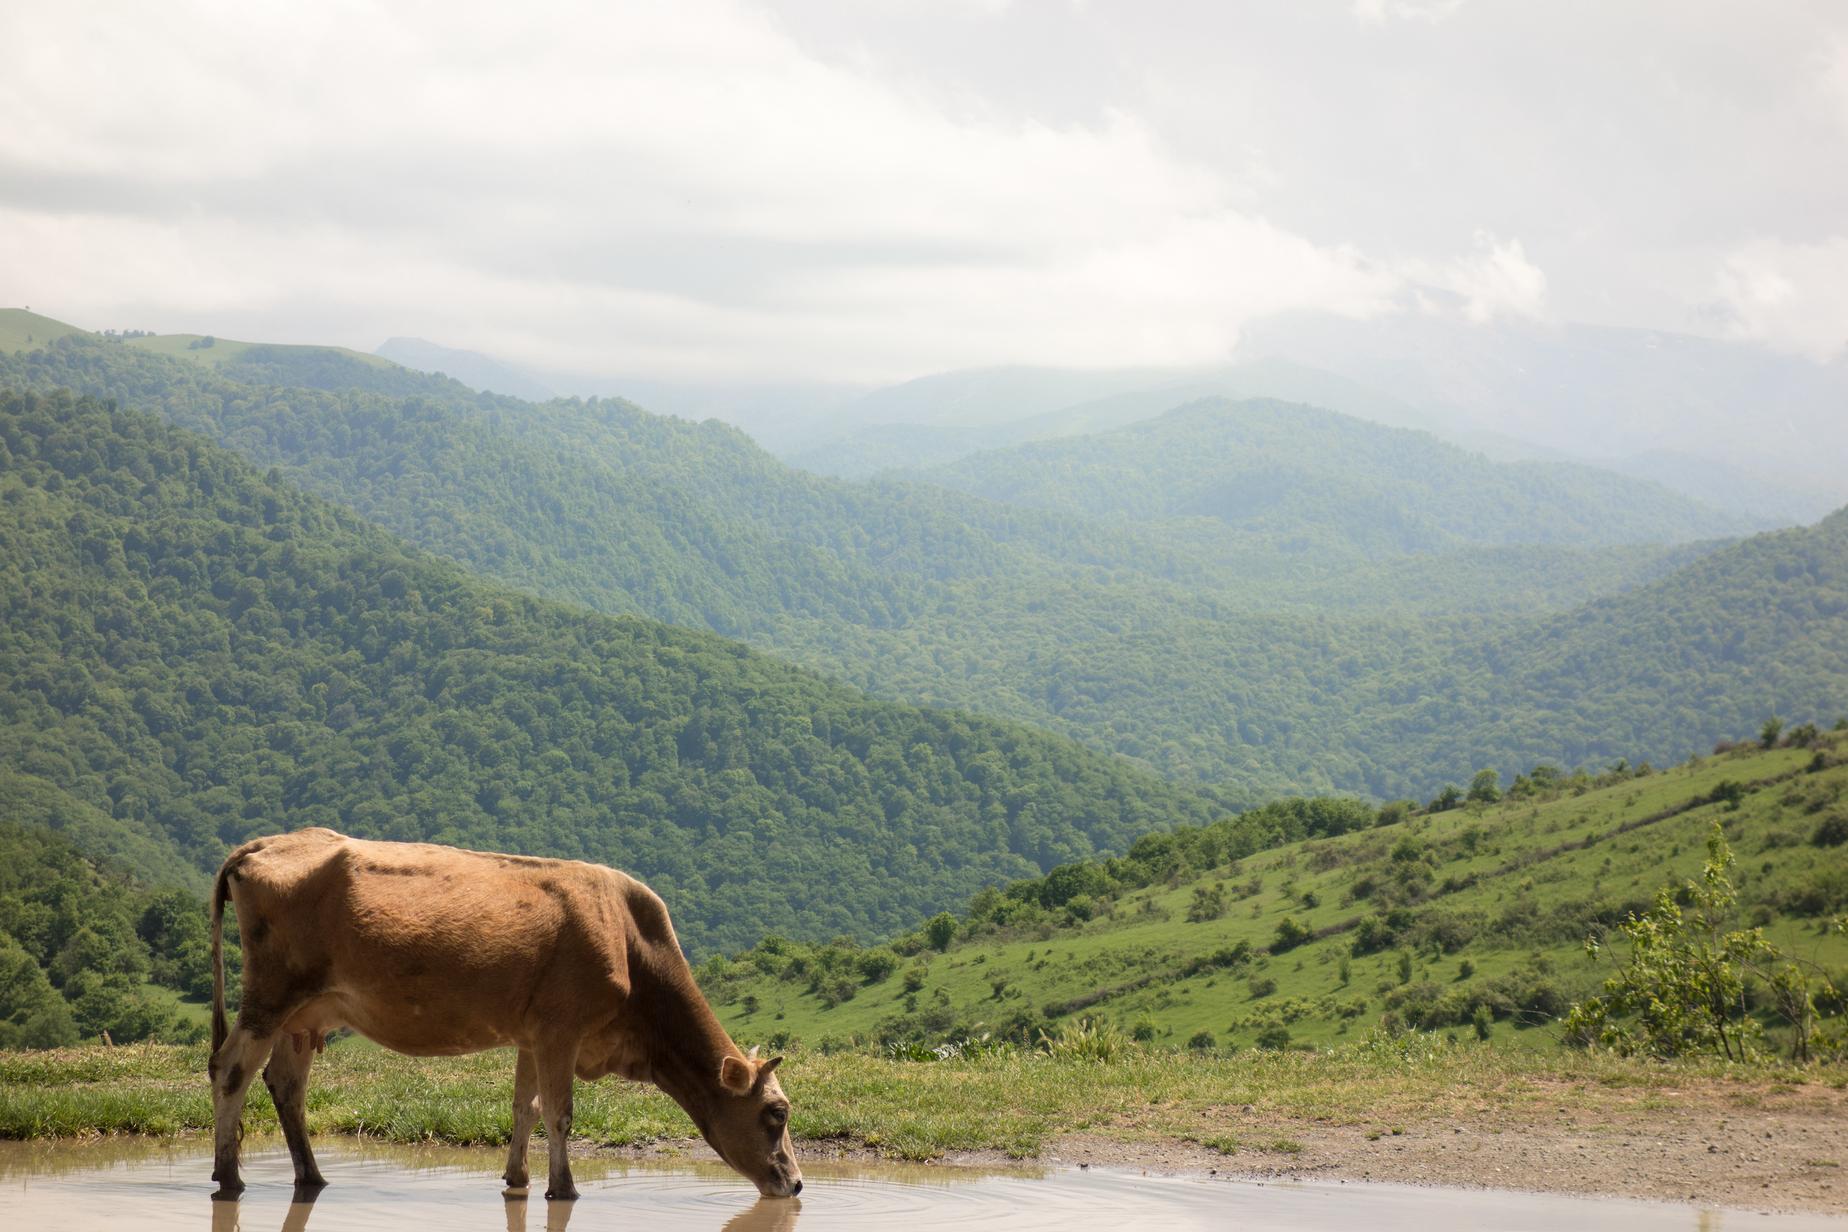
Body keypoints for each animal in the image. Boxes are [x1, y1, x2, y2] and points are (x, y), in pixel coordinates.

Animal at [209, 827, 802, 1204]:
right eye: (776, 1113)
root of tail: (263, 844)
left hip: (303, 1013)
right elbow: (560, 1112)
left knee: (286, 1085)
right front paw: (564, 1188)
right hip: (270, 995)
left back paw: (311, 1178)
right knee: (230, 1070)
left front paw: (517, 1179)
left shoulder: (531, 1034)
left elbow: (526, 1107)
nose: (796, 1184)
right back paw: (229, 1177)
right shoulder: (562, 1030)